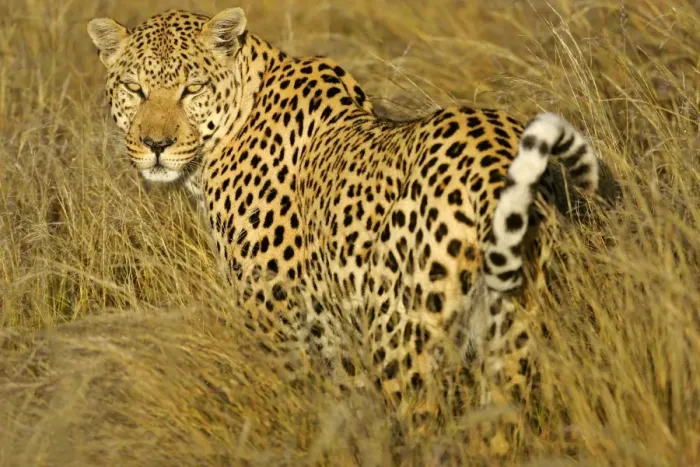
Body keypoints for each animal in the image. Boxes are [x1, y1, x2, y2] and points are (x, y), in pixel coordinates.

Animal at [88, 7, 600, 455]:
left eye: (191, 89)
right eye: (134, 88)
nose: (156, 144)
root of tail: (494, 153)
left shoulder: (278, 321)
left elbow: (292, 406)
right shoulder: (337, 335)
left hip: (403, 332)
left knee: (425, 428)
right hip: (512, 329)